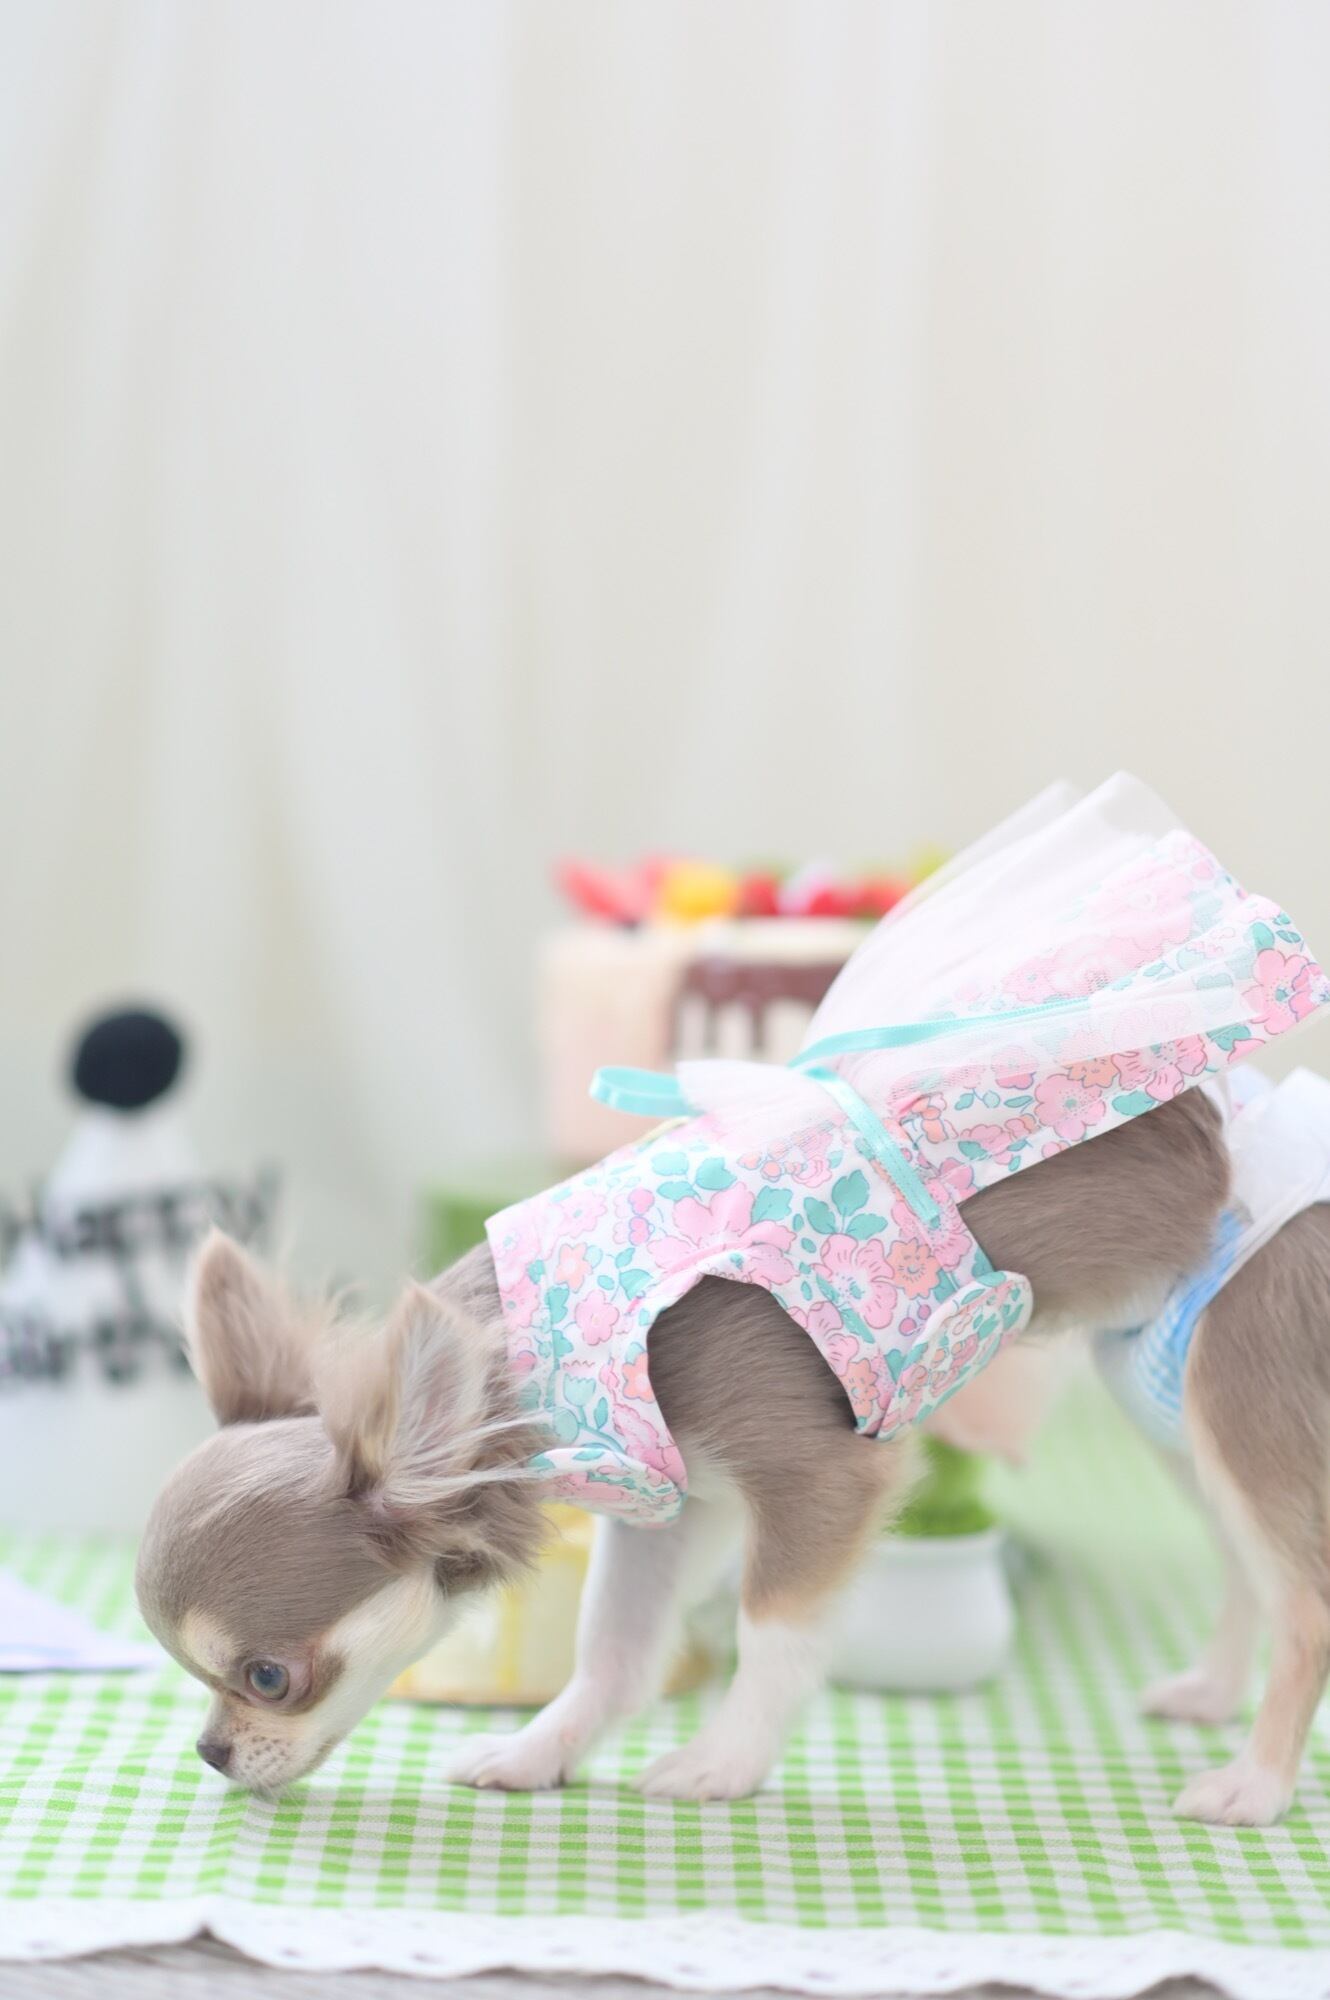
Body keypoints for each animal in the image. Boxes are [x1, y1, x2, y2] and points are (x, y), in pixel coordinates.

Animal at [135, 1078, 1330, 1823]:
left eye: (270, 1676)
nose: (210, 1752)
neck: (557, 1332)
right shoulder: (678, 1497)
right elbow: (615, 1651)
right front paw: (539, 1752)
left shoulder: (822, 1476)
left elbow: (774, 1633)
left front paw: (725, 1761)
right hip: (1167, 1398)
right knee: (1247, 1569)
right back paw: (1211, 1694)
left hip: (1238, 1386)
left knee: (1304, 1599)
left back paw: (1254, 1785)